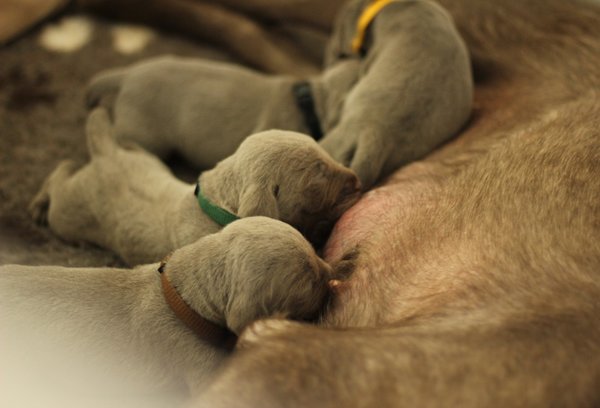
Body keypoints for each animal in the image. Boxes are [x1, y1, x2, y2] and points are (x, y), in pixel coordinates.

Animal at [29, 108, 360, 266]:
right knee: (60, 173)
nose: (357, 180)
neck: (216, 206)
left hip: (145, 157)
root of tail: (104, 151)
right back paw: (38, 204)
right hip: (69, 215)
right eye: (317, 177)